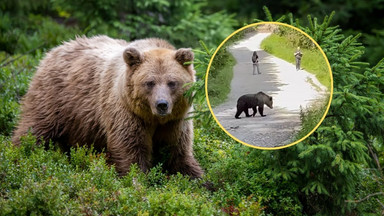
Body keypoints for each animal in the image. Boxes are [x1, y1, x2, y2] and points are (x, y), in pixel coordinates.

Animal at [12, 35, 204, 177]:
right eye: (149, 82)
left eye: (172, 82)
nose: (162, 105)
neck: (153, 119)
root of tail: (55, 49)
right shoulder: (126, 113)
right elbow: (130, 149)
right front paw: (137, 179)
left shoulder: (176, 121)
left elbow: (178, 152)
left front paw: (199, 179)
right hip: (55, 99)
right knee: (35, 128)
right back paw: (19, 153)